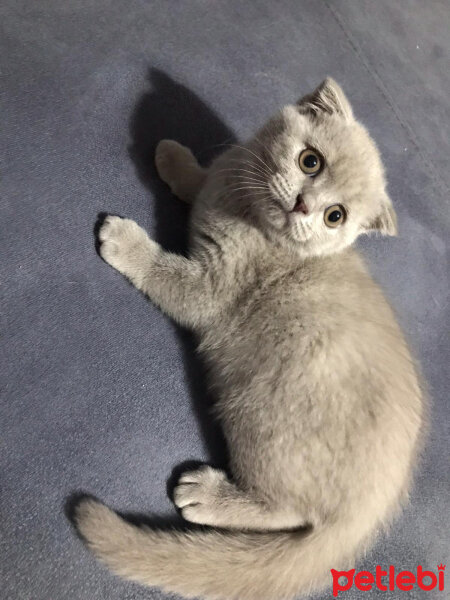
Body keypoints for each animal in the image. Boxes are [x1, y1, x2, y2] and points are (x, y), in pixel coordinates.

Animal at [74, 79, 426, 600]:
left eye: (335, 217)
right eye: (310, 161)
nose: (304, 205)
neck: (243, 210)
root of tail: (367, 515)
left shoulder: (211, 290)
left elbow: (167, 276)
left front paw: (125, 241)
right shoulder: (225, 177)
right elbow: (201, 179)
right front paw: (175, 158)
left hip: (259, 419)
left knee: (287, 511)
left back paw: (205, 495)